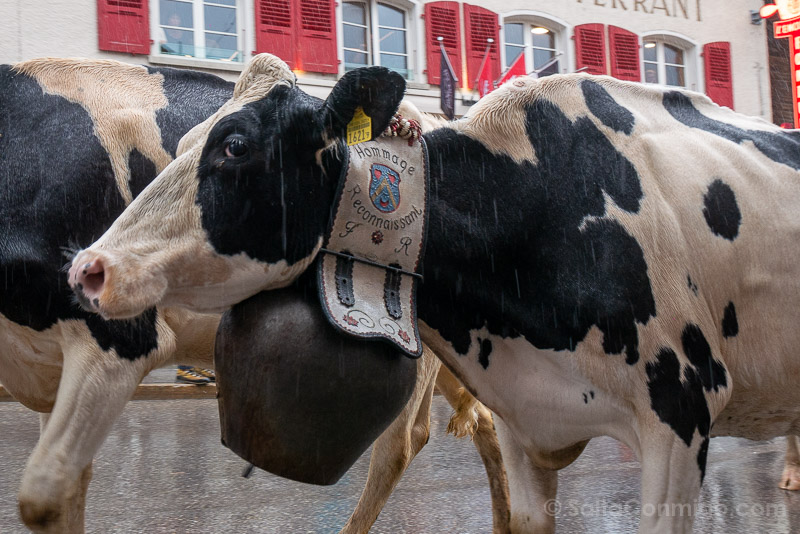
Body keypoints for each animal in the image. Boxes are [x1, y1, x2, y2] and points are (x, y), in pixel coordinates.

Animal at [1, 58, 509, 533]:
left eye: (236, 147)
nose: (86, 270)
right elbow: (70, 488)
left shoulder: (117, 342)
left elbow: (44, 494)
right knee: (484, 418)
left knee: (400, 444)